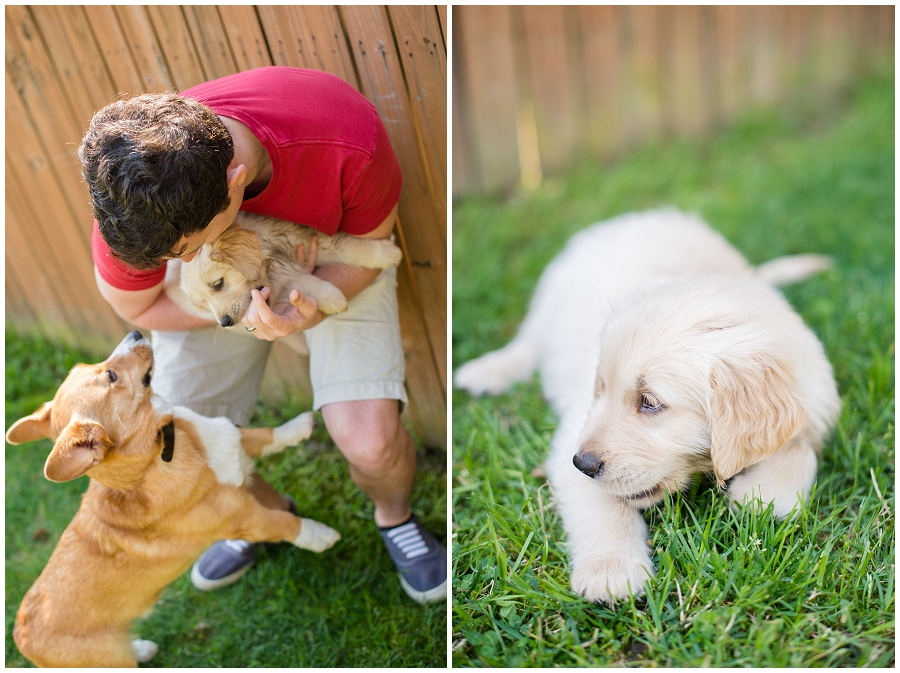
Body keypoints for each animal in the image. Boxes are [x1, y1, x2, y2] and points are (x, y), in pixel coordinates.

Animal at [6, 330, 342, 668]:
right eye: (111, 375)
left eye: (84, 366)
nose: (135, 333)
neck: (166, 450)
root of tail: (21, 638)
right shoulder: (246, 519)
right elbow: (284, 522)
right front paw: (320, 535)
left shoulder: (232, 439)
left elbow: (263, 435)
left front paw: (301, 425)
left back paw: (140, 648)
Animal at [180, 210, 404, 326]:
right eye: (203, 303)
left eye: (218, 284)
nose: (225, 322)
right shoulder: (283, 280)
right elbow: (301, 280)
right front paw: (332, 298)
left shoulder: (306, 241)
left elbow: (347, 247)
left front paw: (386, 253)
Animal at [454, 209, 840, 604]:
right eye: (601, 388)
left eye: (650, 402)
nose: (583, 463)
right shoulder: (574, 435)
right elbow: (602, 505)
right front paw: (610, 569)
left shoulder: (815, 394)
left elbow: (799, 447)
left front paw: (765, 491)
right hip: (550, 295)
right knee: (528, 342)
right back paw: (488, 371)